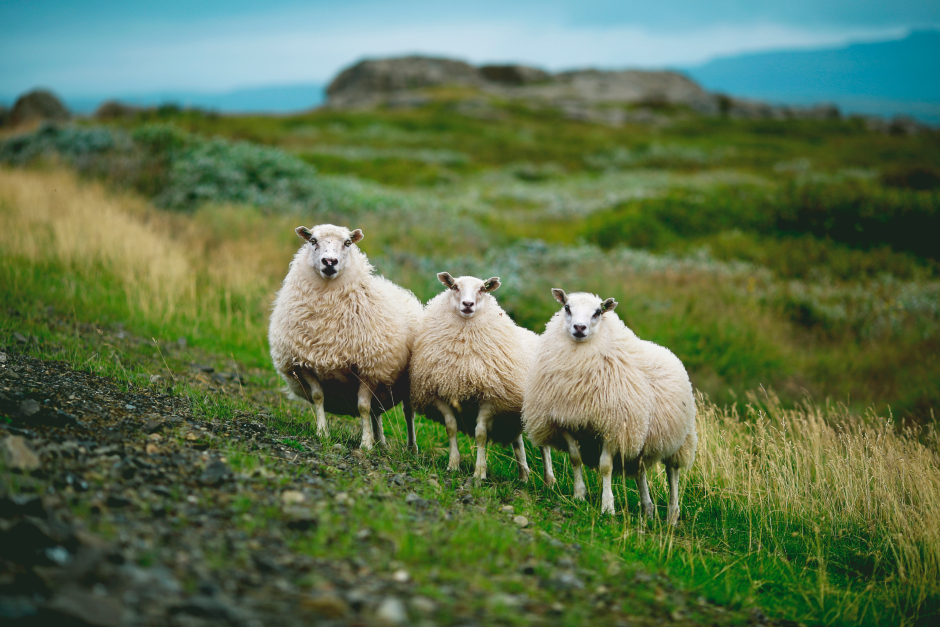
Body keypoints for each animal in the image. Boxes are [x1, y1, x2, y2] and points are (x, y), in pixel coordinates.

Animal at [268, 224, 424, 450]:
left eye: (348, 243)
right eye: (312, 241)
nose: (329, 262)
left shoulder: (369, 368)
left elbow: (363, 407)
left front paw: (365, 444)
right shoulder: (304, 363)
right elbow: (318, 397)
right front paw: (323, 433)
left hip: (406, 381)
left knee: (407, 412)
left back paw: (411, 447)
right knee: (377, 411)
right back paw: (381, 442)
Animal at [410, 273, 556, 485]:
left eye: (482, 289)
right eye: (454, 287)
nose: (468, 304)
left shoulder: (490, 398)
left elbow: (480, 435)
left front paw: (479, 472)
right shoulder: (440, 394)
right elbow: (451, 428)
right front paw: (453, 465)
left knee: (544, 446)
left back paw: (549, 481)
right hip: (512, 415)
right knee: (518, 442)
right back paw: (524, 476)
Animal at [523, 289, 697, 523]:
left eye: (598, 312)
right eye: (567, 307)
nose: (579, 328)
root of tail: (668, 352)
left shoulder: (612, 427)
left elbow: (606, 467)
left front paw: (608, 507)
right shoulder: (565, 420)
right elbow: (575, 459)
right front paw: (579, 495)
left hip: (679, 439)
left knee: (673, 473)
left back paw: (672, 515)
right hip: (640, 435)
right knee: (640, 470)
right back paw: (647, 509)